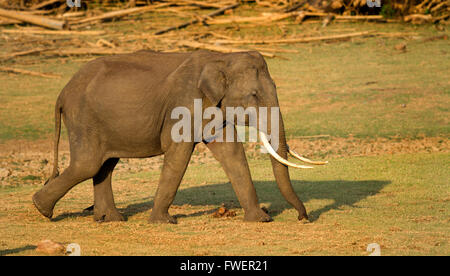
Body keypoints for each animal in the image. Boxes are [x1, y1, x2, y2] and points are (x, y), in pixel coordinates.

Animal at [32, 49, 326, 223]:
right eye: (253, 96)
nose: (303, 218)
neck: (222, 56)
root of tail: (62, 92)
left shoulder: (213, 107)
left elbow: (231, 153)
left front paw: (259, 220)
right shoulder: (185, 103)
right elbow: (179, 153)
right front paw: (164, 222)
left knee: (105, 164)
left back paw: (112, 219)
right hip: (83, 119)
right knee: (89, 164)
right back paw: (42, 209)